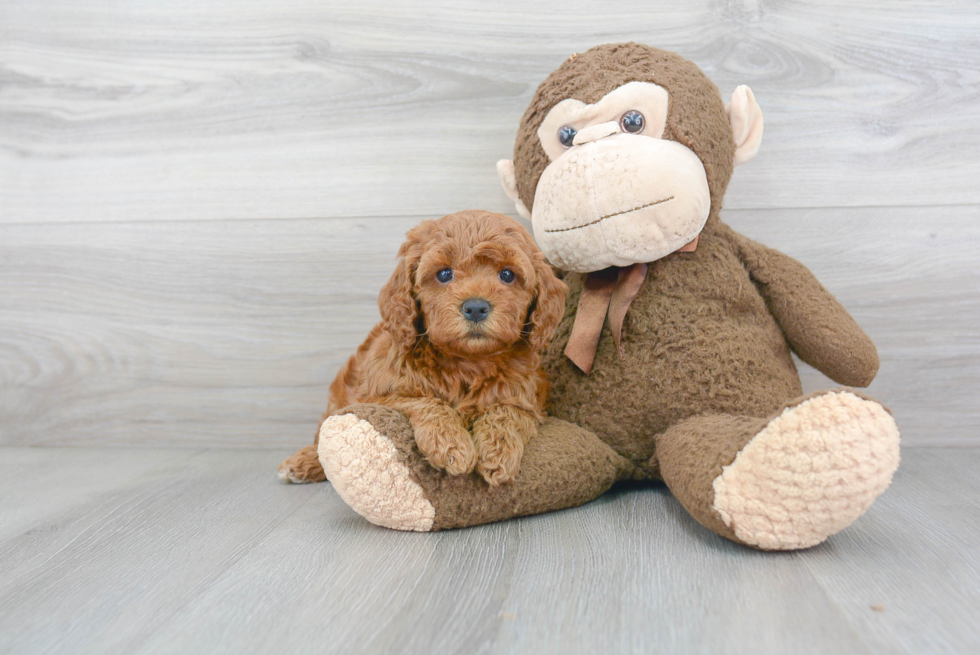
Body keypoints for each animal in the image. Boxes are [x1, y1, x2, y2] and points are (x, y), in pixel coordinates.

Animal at [276, 210, 568, 486]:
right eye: (444, 274)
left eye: (507, 274)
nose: (475, 307)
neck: (468, 362)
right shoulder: (379, 395)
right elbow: (425, 401)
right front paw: (451, 444)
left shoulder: (527, 397)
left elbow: (507, 412)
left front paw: (499, 453)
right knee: (324, 431)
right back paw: (303, 462)